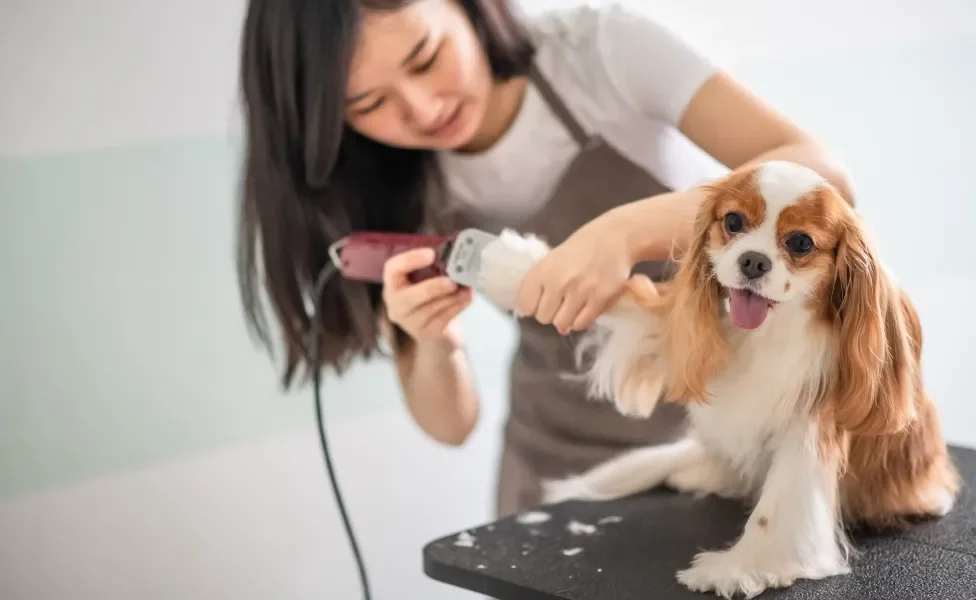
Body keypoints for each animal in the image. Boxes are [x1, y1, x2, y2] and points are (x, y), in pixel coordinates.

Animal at [532, 162, 960, 596]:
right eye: (733, 221)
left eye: (801, 243)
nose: (753, 261)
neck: (767, 332)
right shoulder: (675, 329)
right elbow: (636, 311)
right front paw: (521, 264)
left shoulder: (811, 423)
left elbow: (776, 508)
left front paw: (737, 569)